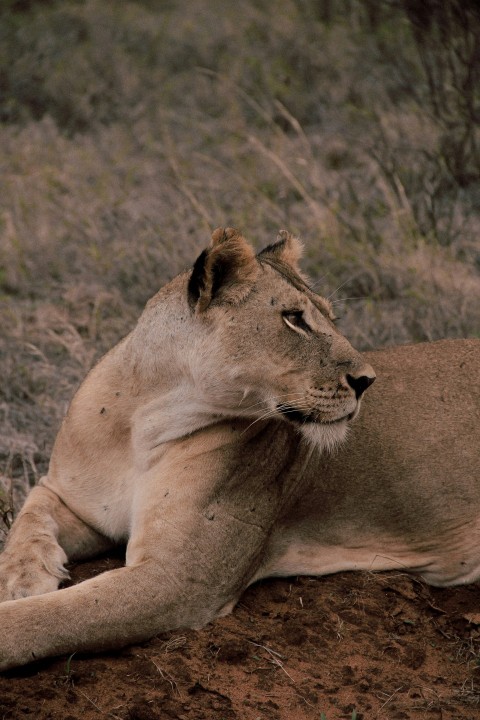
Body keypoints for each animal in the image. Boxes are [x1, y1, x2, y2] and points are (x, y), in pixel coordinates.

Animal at [0, 227, 478, 670]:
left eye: (332, 318)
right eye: (294, 318)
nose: (367, 381)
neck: (147, 417)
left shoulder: (180, 582)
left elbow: (55, 618)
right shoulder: (74, 500)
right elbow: (29, 517)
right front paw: (23, 578)